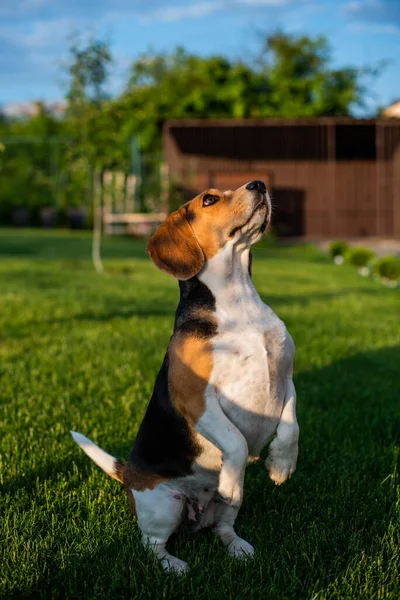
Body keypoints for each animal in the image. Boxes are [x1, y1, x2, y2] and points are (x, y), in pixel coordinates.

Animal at [70, 180, 298, 576]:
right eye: (209, 199)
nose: (259, 184)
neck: (239, 300)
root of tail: (128, 474)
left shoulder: (286, 378)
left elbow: (291, 426)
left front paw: (282, 465)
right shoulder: (196, 398)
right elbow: (237, 442)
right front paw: (236, 476)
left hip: (221, 512)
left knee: (223, 526)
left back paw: (237, 547)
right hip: (163, 507)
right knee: (151, 544)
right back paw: (173, 564)